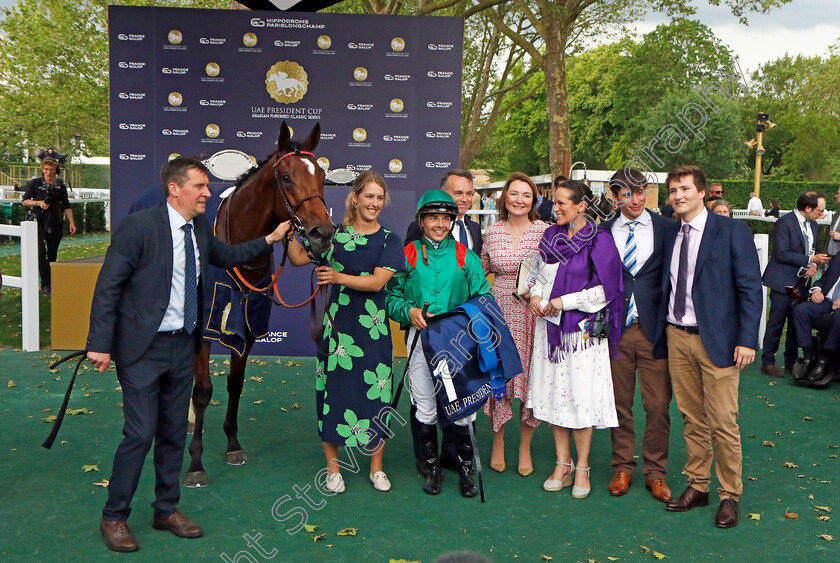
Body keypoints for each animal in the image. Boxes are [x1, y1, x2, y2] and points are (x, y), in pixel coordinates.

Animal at [185, 123, 334, 490]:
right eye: (286, 176)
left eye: (321, 175)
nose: (322, 233)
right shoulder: (206, 327)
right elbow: (203, 390)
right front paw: (195, 462)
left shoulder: (249, 326)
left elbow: (235, 383)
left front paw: (233, 443)